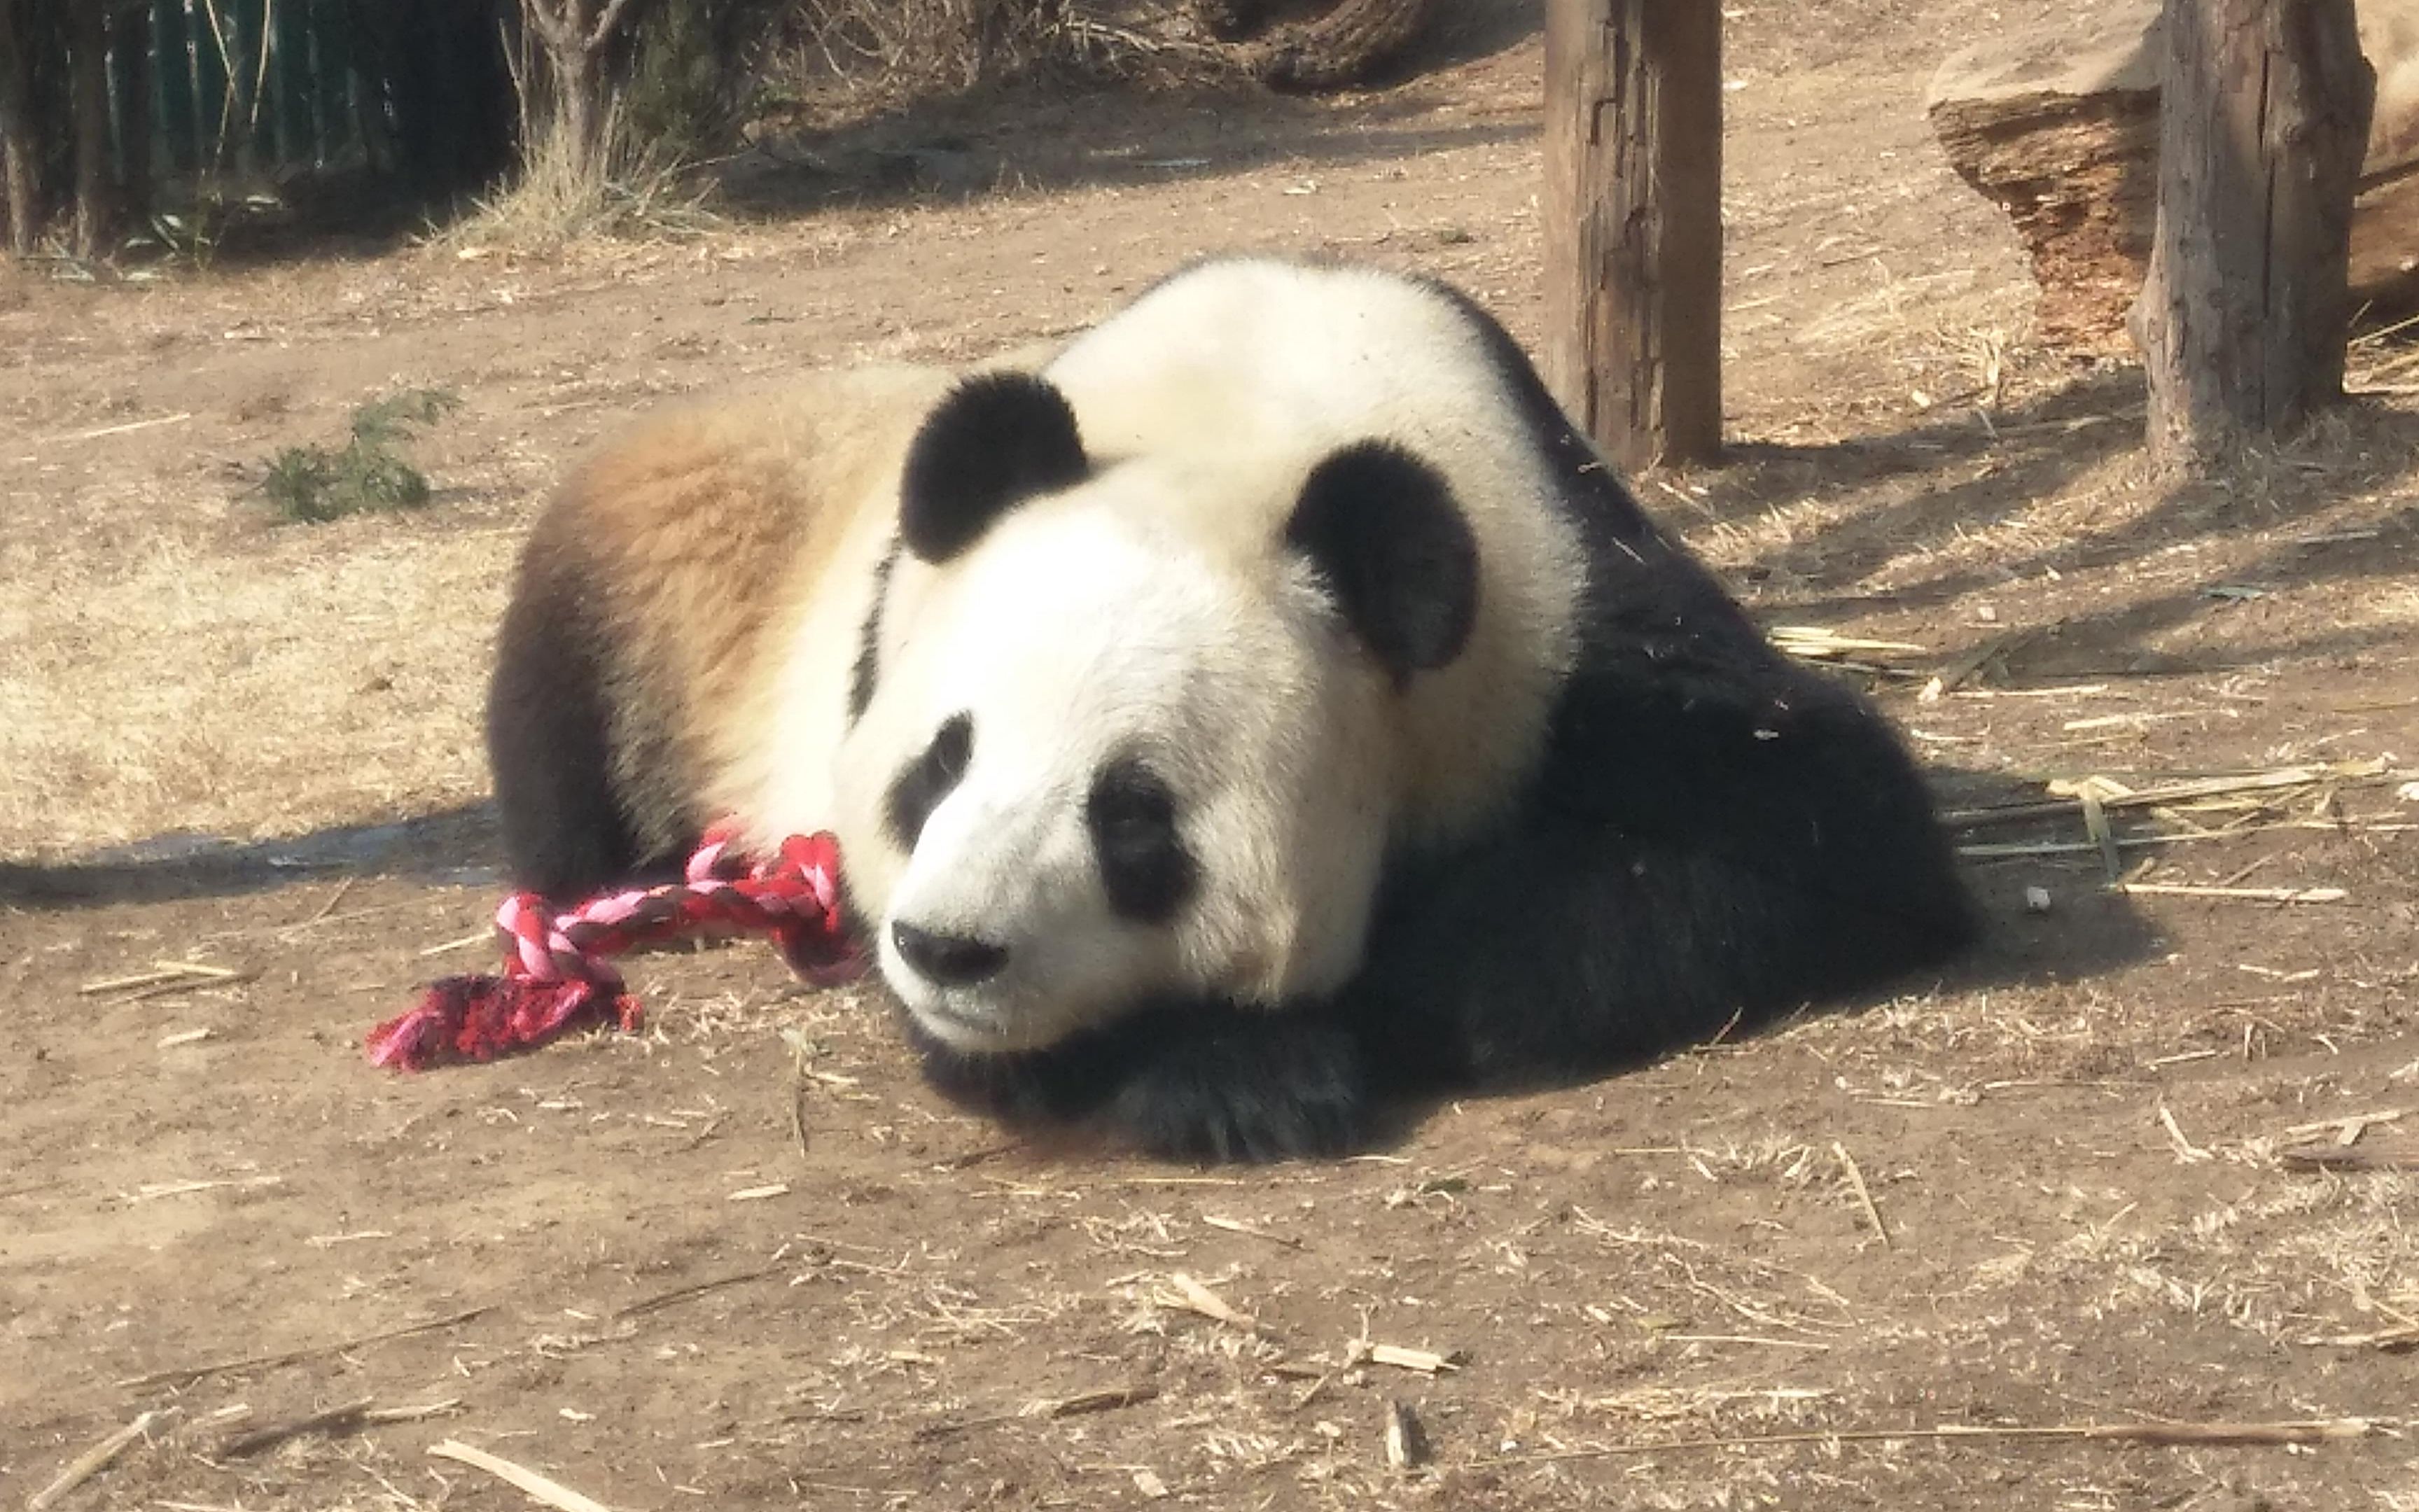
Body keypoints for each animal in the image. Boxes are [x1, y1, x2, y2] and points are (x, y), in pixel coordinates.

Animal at [481, 256, 1974, 1156]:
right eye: (937, 765)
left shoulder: (1566, 608)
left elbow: (1812, 830)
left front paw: (1290, 1035)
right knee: (558, 761)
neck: (1249, 430)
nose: (949, 950)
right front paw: (1234, 1069)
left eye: (1134, 815)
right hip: (651, 594)